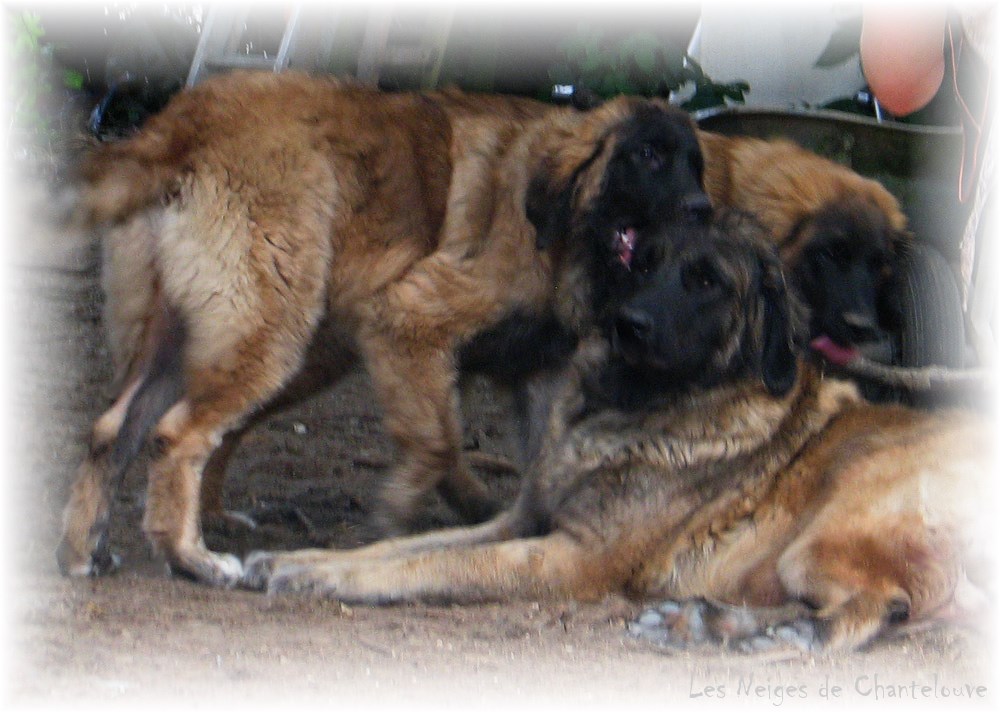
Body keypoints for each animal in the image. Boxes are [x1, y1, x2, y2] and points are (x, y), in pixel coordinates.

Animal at [56, 71, 712, 584]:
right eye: (647, 157)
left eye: (695, 166)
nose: (703, 211)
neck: (560, 222)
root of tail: (181, 123)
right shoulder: (409, 320)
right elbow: (440, 440)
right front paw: (397, 516)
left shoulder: (537, 371)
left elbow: (530, 458)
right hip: (271, 331)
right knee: (180, 434)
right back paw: (192, 558)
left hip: (184, 336)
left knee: (114, 429)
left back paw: (88, 551)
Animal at [244, 210, 992, 652]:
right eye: (642, 261)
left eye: (707, 281)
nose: (628, 324)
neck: (628, 409)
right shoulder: (521, 522)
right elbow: (404, 546)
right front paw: (294, 561)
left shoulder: (570, 557)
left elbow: (429, 565)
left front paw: (323, 579)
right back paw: (706, 620)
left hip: (838, 515)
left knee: (879, 604)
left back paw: (753, 632)